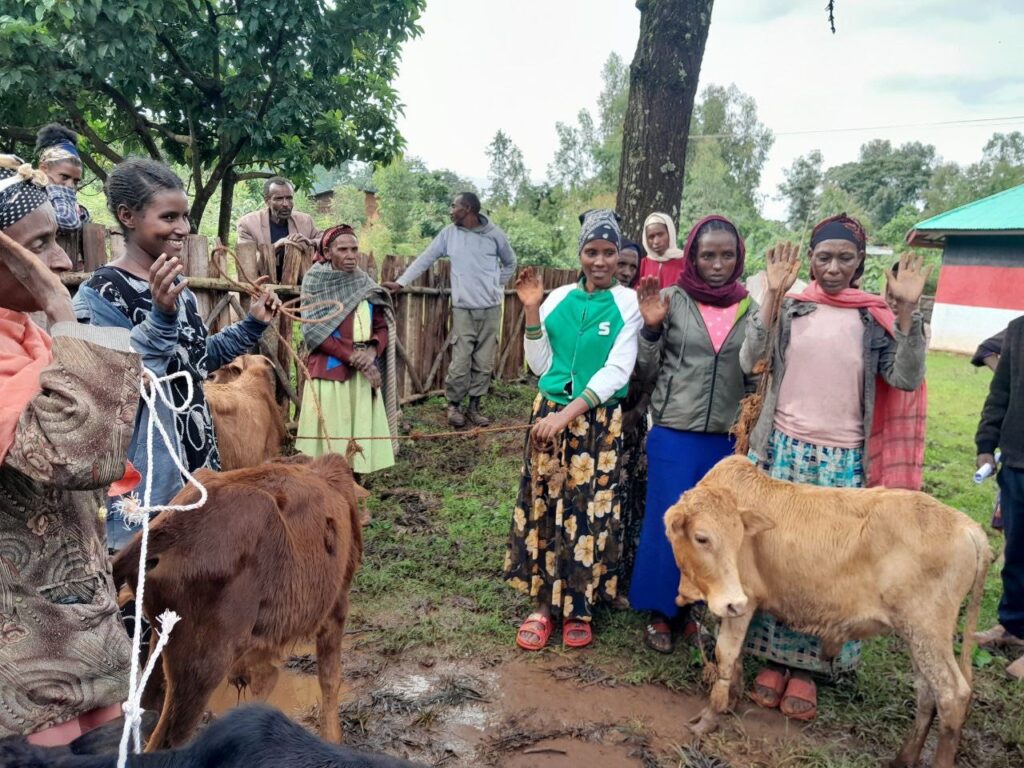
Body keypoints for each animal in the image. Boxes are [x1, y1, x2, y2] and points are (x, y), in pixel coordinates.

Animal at [112, 454, 363, 751]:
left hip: (163, 640)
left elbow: (264, 680)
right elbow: (329, 679)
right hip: (201, 666)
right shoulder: (336, 605)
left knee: (146, 707)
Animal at [665, 455, 991, 768]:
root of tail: (968, 527)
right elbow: (737, 656)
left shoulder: (742, 600)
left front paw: (710, 716)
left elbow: (726, 654)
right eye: (702, 538)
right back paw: (902, 758)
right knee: (926, 692)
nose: (733, 601)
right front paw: (731, 699)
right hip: (916, 634)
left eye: (737, 539)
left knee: (952, 695)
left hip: (927, 629)